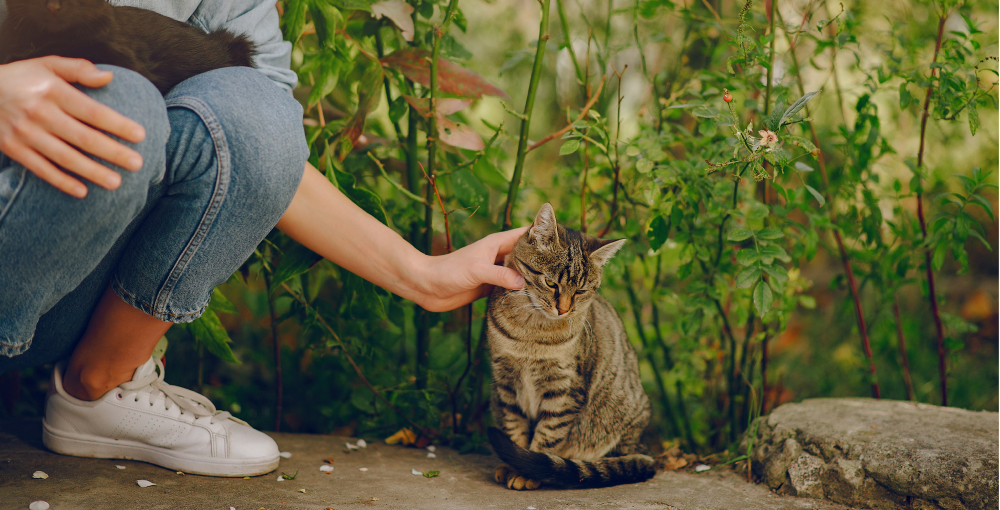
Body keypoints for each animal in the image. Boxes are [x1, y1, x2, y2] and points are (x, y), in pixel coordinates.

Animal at [486, 203, 656, 490]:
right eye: (551, 283)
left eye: (581, 291)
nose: (563, 309)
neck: (530, 332)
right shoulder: (506, 380)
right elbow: (514, 427)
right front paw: (512, 464)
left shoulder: (564, 389)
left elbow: (547, 435)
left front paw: (526, 471)